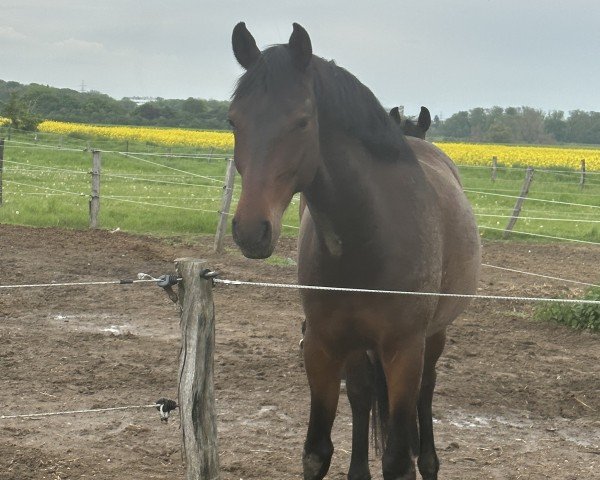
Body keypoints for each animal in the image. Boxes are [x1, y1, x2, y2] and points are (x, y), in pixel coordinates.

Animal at [227, 22, 480, 480]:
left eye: (302, 121)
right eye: (233, 120)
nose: (251, 230)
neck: (369, 237)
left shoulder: (404, 350)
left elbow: (397, 459)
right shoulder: (323, 346)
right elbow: (317, 450)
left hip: (431, 337)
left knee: (426, 392)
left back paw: (429, 461)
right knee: (363, 394)